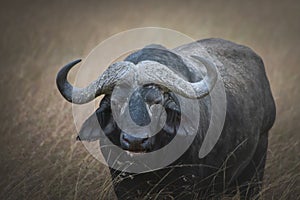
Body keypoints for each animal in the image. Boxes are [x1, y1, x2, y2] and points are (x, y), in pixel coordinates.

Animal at [56, 38, 276, 199]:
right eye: (116, 102)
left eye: (156, 101)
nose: (135, 140)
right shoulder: (122, 184)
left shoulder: (188, 186)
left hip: (256, 165)